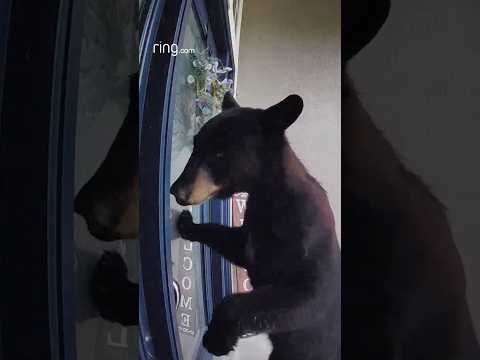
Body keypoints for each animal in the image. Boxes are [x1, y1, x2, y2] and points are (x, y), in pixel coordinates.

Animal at [171, 93, 340, 360]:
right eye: (196, 144)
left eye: (219, 153)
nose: (176, 190)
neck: (268, 198)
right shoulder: (254, 233)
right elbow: (234, 242)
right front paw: (189, 224)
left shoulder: (307, 251)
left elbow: (301, 298)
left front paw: (217, 339)